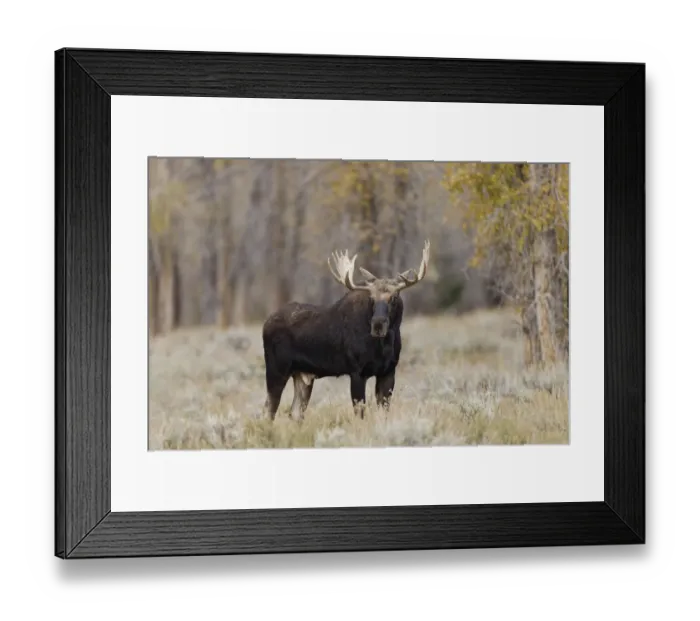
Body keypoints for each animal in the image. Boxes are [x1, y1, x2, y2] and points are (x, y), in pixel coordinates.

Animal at [261, 240, 431, 421]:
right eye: (371, 299)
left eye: (394, 297)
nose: (378, 324)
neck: (383, 346)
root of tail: (265, 324)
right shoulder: (357, 372)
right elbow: (360, 413)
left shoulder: (388, 371)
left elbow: (383, 412)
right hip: (277, 369)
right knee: (268, 411)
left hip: (302, 374)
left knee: (295, 412)